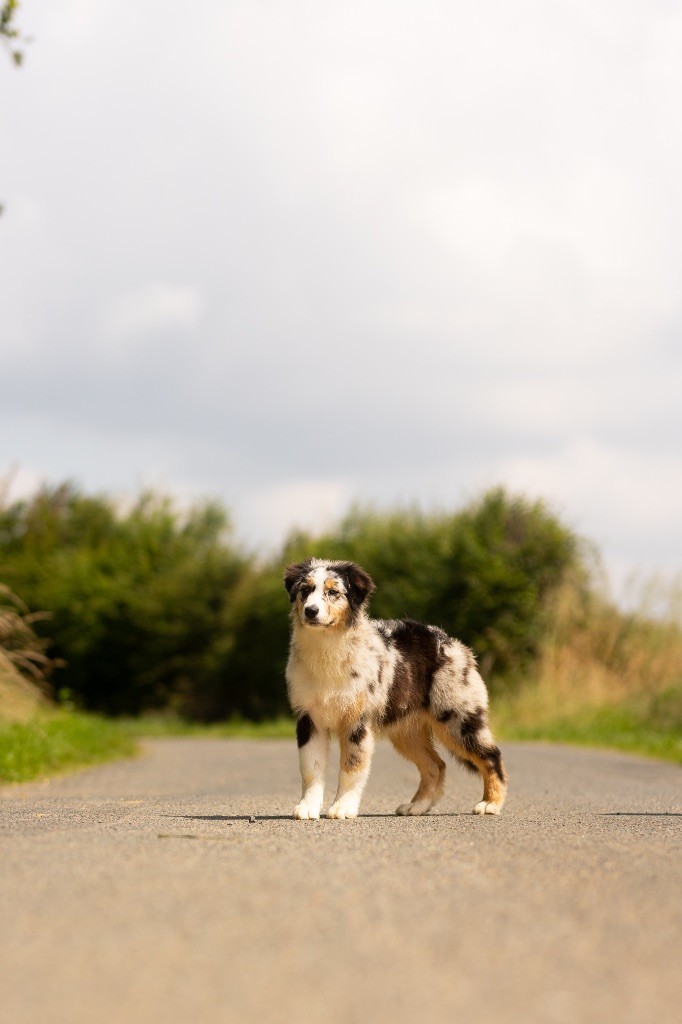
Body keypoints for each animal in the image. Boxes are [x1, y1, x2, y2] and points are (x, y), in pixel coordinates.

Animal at [280, 557, 503, 819]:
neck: (328, 648)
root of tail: (455, 644)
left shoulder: (358, 720)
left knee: (491, 755)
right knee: (436, 765)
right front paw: (307, 808)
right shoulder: (309, 718)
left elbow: (352, 766)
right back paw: (416, 806)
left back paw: (490, 804)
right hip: (408, 731)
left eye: (333, 592)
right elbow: (310, 768)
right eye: (305, 590)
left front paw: (343, 807)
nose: (310, 611)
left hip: (458, 717)